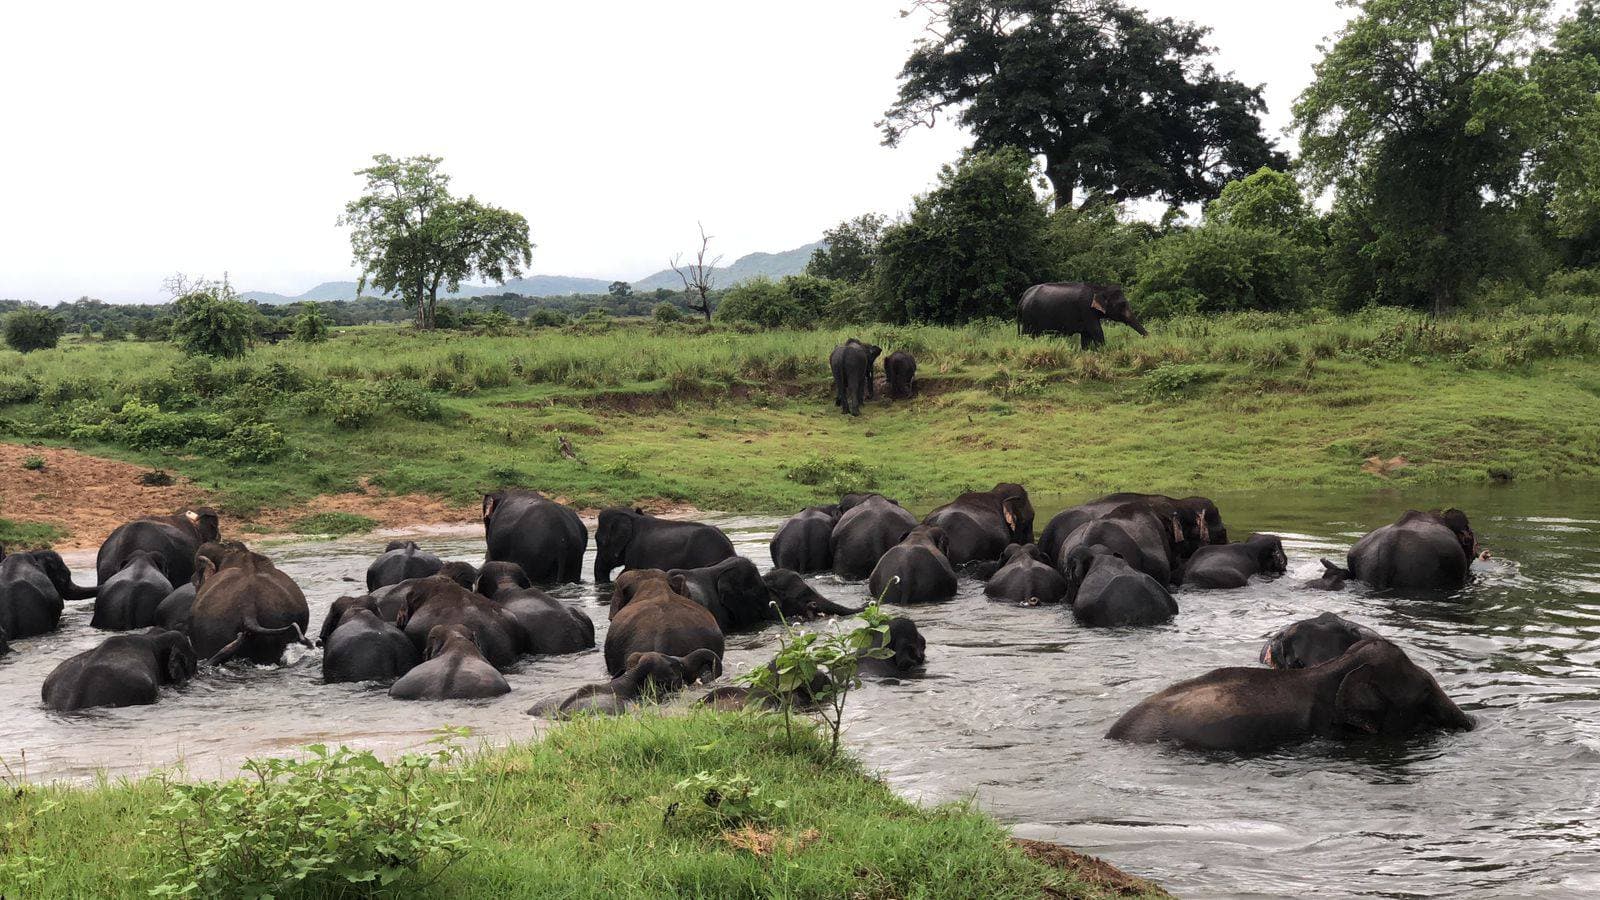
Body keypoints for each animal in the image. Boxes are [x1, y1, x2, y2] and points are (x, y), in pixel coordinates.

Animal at [1017, 281, 1147, 348]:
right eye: (1123, 304)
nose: (1148, 338)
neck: (1099, 288)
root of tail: (1023, 297)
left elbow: (1086, 336)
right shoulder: (1086, 310)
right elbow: (1097, 331)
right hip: (1029, 317)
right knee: (1028, 335)